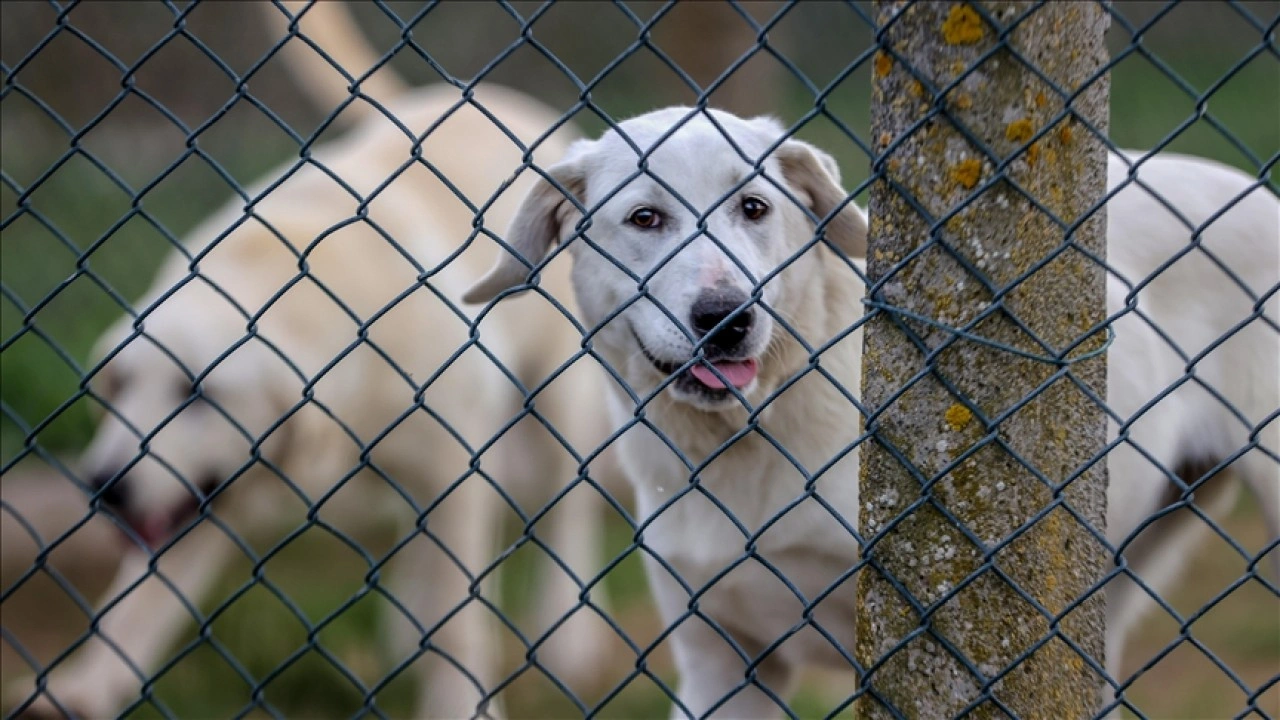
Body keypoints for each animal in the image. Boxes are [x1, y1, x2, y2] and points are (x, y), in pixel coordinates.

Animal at [6, 2, 614, 712]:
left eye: (196, 394)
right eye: (121, 385)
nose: (103, 485)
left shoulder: (451, 471)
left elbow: (459, 618)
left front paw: (460, 705)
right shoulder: (200, 500)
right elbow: (137, 602)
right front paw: (82, 692)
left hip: (556, 402)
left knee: (566, 513)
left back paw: (567, 642)